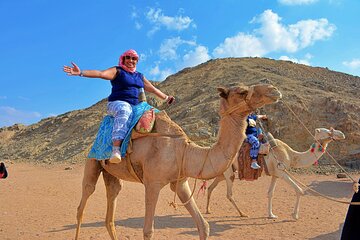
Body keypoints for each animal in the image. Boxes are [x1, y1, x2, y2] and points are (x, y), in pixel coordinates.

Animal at [74, 83, 282, 239]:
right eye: (242, 92)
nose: (274, 90)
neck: (184, 150)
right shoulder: (152, 183)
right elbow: (148, 231)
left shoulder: (180, 183)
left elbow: (204, 226)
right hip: (92, 162)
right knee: (82, 204)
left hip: (111, 174)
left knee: (111, 208)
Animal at [207, 127, 344, 219]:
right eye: (327, 131)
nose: (342, 134)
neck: (291, 155)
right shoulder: (282, 172)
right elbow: (299, 190)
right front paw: (295, 215)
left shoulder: (275, 175)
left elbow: (270, 193)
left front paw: (271, 214)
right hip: (228, 172)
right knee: (229, 194)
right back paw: (242, 213)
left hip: (222, 174)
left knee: (210, 187)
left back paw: (208, 210)